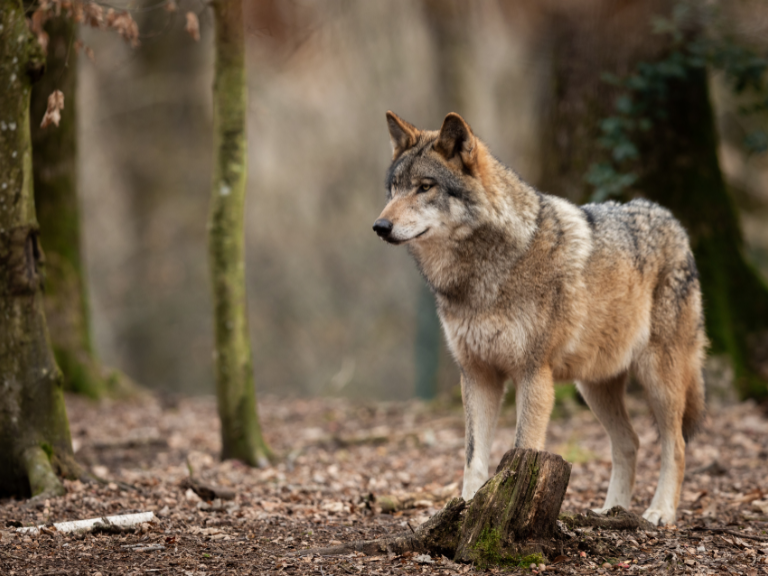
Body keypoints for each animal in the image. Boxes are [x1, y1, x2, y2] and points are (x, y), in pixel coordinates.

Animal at [376, 111, 704, 528]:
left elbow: (522, 450)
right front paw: (465, 510)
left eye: (424, 187)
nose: (380, 227)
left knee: (675, 445)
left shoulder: (533, 374)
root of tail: (672, 220)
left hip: (659, 380)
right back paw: (611, 511)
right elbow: (473, 458)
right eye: (394, 189)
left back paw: (660, 512)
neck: (482, 275)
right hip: (594, 387)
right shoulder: (477, 375)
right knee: (630, 442)